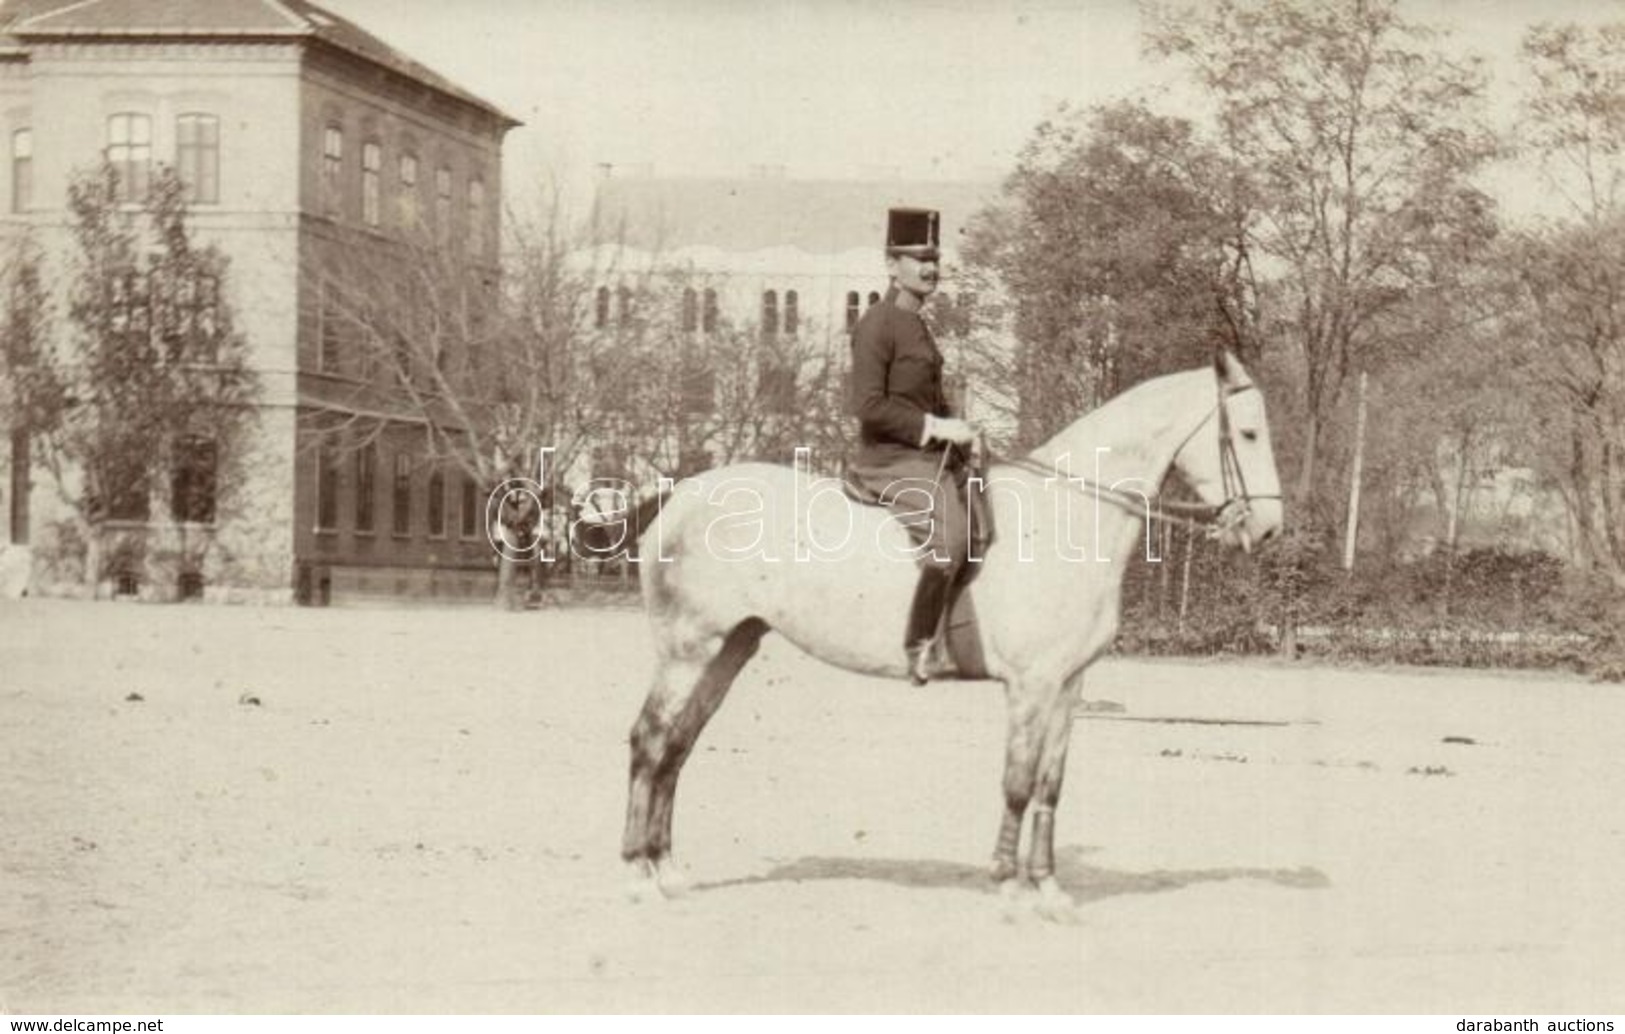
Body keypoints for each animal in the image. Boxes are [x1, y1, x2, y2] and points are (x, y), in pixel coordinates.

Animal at [614, 352, 1274, 910]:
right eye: (1248, 434)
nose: (1268, 530)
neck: (1067, 518)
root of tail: (678, 493)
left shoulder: (1068, 685)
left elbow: (1051, 785)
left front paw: (1049, 890)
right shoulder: (1031, 686)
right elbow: (1017, 782)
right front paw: (1009, 888)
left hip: (729, 648)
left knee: (678, 747)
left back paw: (669, 871)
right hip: (687, 651)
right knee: (650, 742)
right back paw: (637, 874)